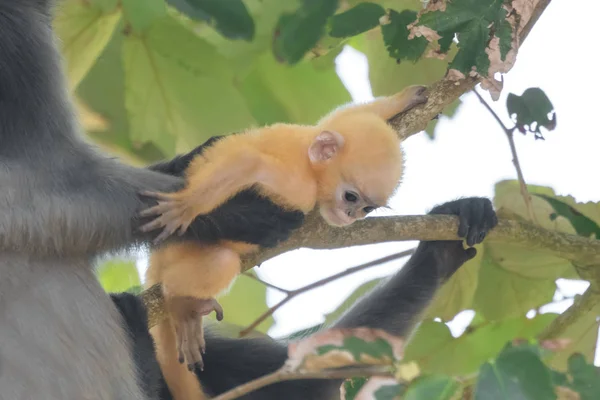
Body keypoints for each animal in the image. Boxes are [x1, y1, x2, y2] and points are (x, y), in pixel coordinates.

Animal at [141, 85, 428, 400]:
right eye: (350, 197)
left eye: (367, 208)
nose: (351, 216)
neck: (310, 163)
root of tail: (155, 262)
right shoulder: (296, 185)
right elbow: (248, 162)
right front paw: (188, 206)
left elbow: (343, 116)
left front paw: (407, 98)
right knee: (219, 262)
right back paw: (178, 301)